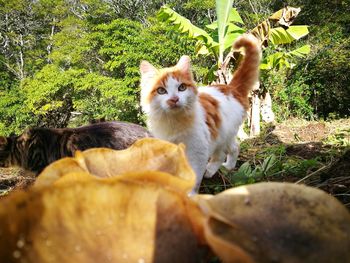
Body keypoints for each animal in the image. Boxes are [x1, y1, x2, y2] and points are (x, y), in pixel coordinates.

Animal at [139, 34, 260, 193]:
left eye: (182, 88)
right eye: (161, 91)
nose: (174, 99)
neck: (173, 122)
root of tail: (231, 88)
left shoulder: (198, 151)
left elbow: (193, 177)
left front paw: (189, 195)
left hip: (222, 135)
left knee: (224, 152)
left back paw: (214, 169)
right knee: (234, 146)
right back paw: (226, 166)